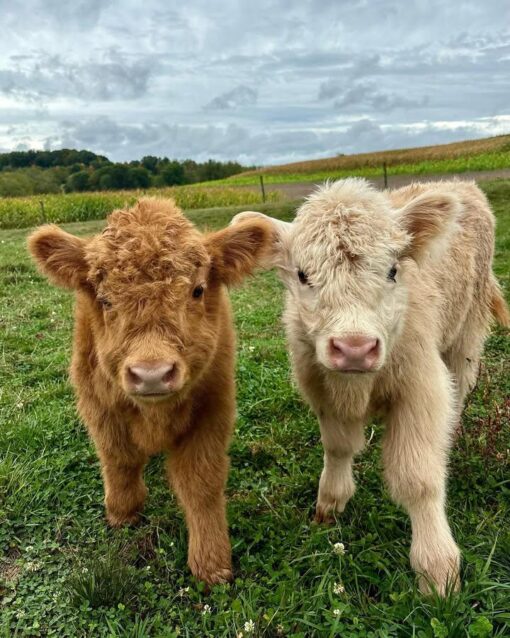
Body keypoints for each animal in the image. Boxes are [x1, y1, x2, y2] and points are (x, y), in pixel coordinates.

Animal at [28, 199, 270, 584]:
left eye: (197, 290)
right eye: (105, 299)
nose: (152, 374)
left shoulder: (212, 410)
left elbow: (201, 482)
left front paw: (211, 563)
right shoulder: (99, 406)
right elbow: (119, 459)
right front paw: (122, 512)